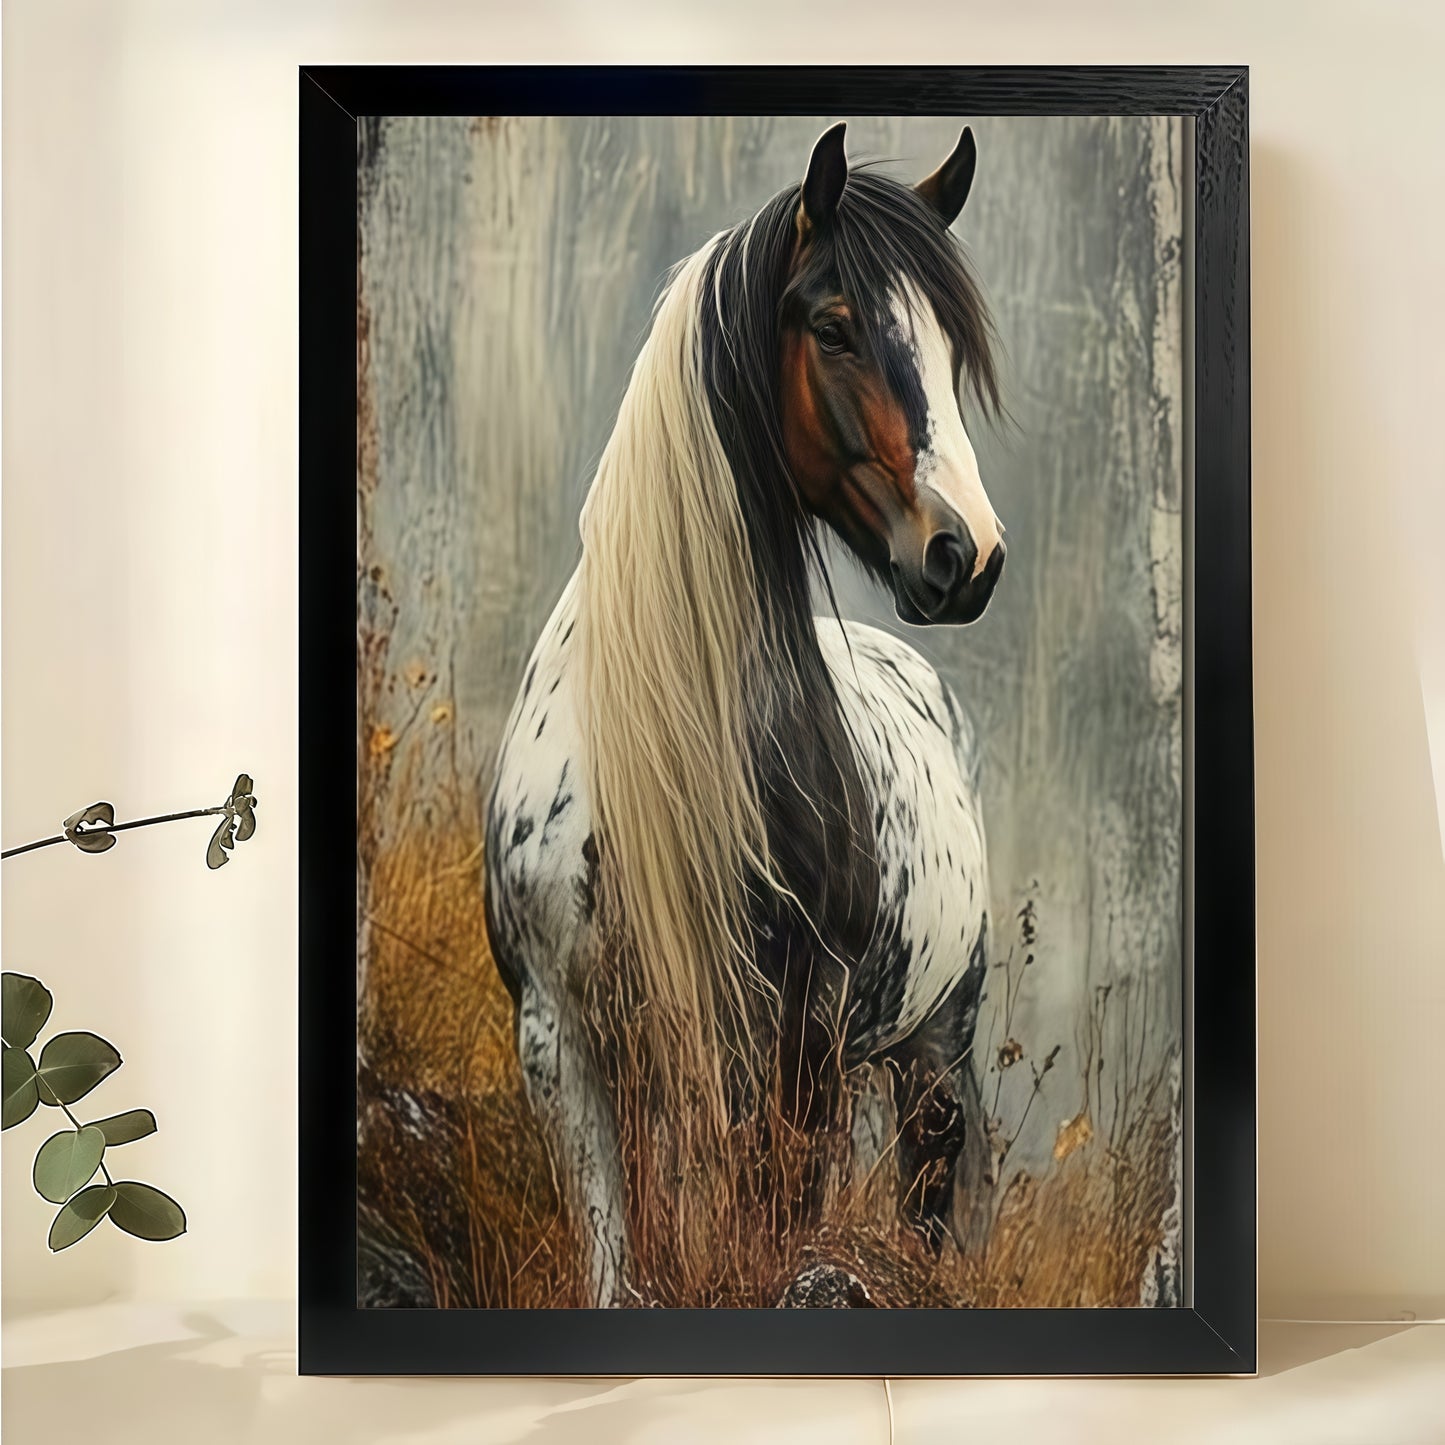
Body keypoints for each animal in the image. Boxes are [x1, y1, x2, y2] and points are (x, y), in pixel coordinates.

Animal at [484, 121, 1005, 1306]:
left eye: (950, 352)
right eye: (834, 326)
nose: (967, 555)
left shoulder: (799, 1042)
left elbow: (770, 1238)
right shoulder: (562, 1039)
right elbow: (616, 1258)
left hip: (930, 1055)